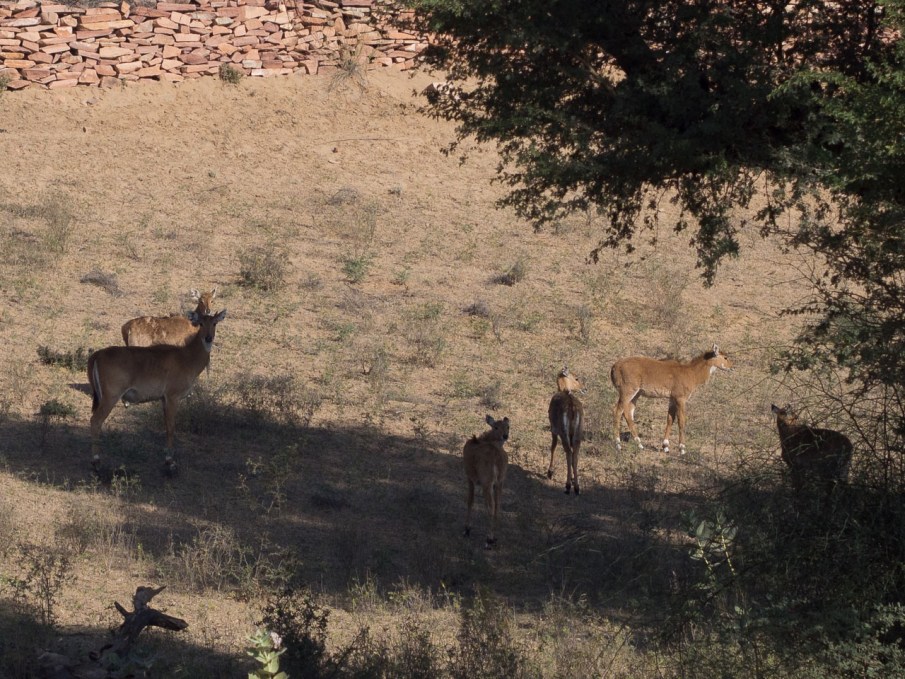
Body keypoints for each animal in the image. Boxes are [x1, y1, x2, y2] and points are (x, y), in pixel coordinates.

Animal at [88, 309, 227, 472]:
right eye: (201, 323)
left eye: (215, 323)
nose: (208, 338)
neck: (187, 357)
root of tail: (97, 354)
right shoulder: (172, 396)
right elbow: (171, 427)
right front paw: (170, 462)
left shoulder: (163, 399)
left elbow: (166, 426)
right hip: (110, 396)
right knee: (96, 421)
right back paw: (96, 461)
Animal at [463, 414, 510, 549]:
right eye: (496, 427)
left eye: (508, 427)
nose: (505, 436)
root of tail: (497, 457)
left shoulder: (470, 478)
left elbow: (470, 501)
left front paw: (467, 529)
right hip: (499, 482)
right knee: (497, 507)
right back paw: (494, 537)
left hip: (487, 483)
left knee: (491, 507)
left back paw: (488, 539)